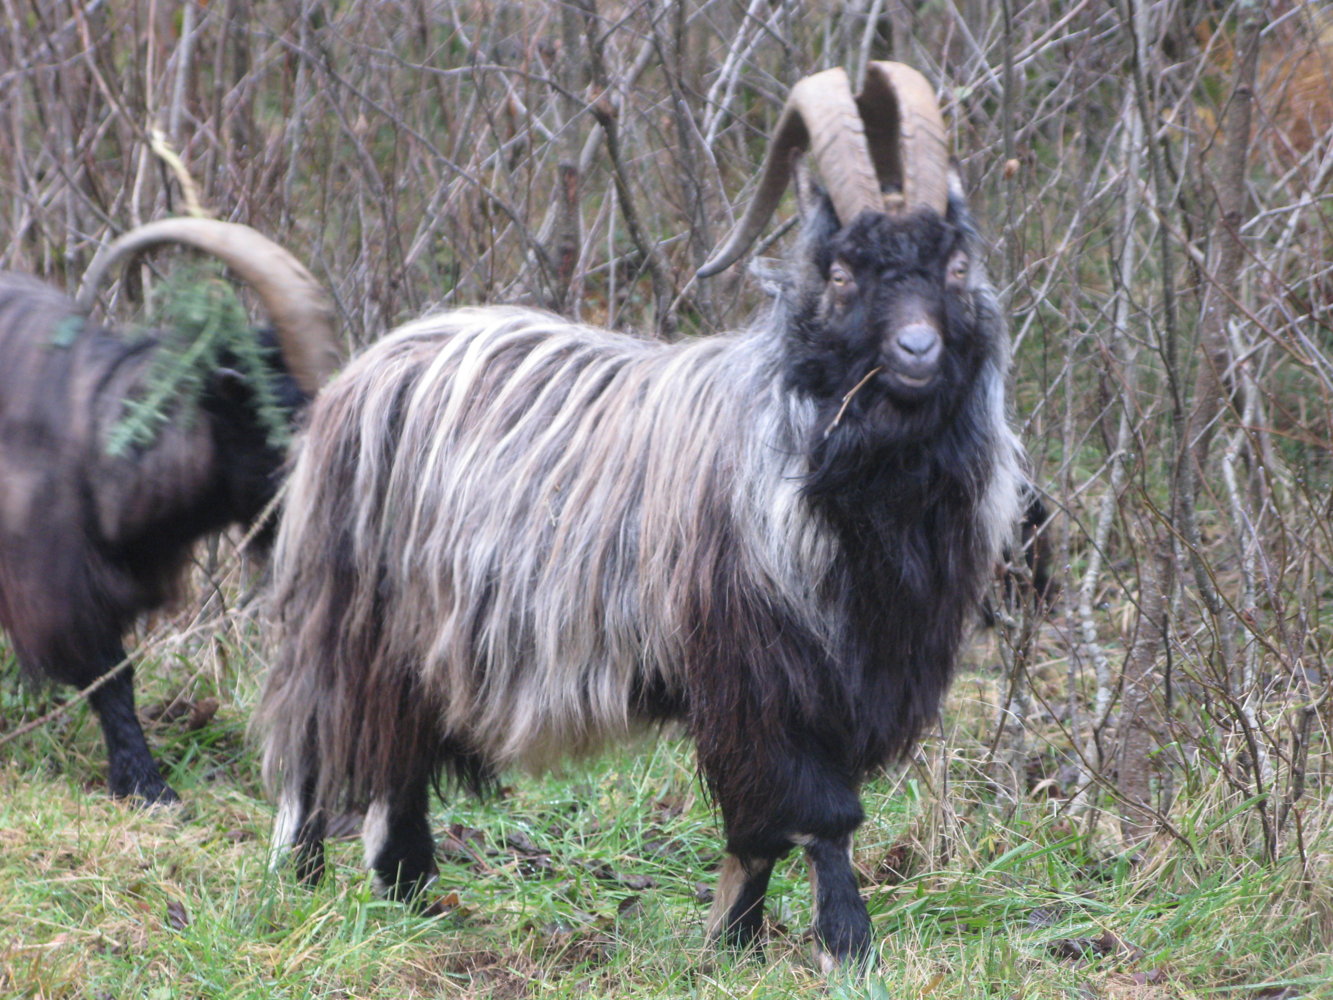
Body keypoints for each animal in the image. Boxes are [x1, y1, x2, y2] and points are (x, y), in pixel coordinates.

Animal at [259, 64, 1023, 970]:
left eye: (955, 262)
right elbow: (815, 814)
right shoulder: (759, 672)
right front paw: (846, 943)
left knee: (398, 759)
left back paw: (411, 893)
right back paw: (301, 881)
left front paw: (733, 940)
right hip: (349, 616)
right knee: (316, 739)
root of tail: (359, 371)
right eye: (840, 273)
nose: (916, 352)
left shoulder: (851, 673)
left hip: (421, 646)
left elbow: (760, 830)